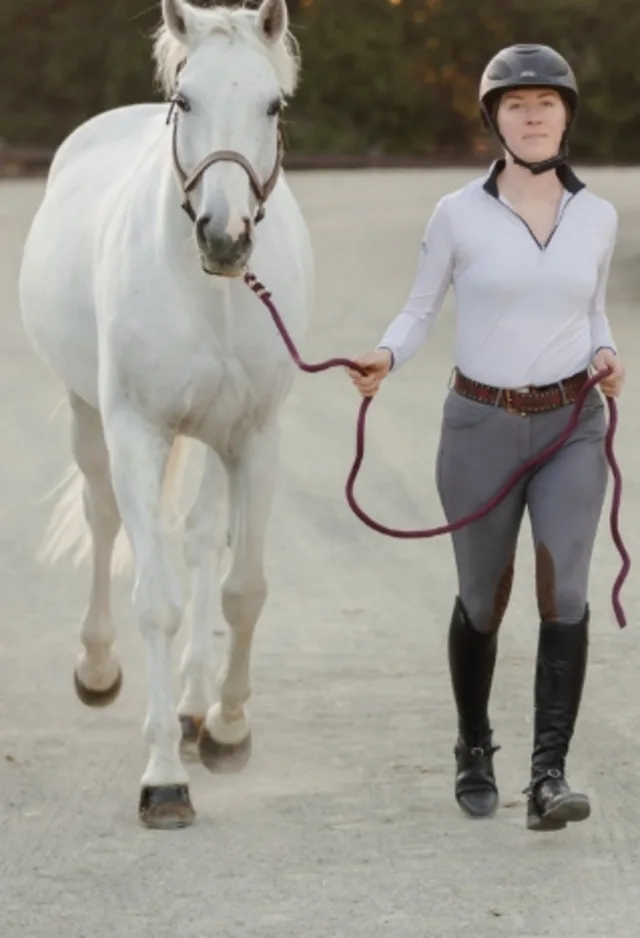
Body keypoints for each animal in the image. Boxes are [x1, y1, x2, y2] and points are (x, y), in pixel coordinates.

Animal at [18, 0, 314, 829]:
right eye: (187, 101)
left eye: (272, 106)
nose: (225, 235)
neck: (209, 293)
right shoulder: (137, 433)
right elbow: (156, 602)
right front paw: (162, 781)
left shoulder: (255, 435)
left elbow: (242, 591)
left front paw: (227, 727)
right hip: (90, 418)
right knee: (103, 518)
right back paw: (97, 669)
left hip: (213, 440)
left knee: (203, 540)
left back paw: (191, 710)